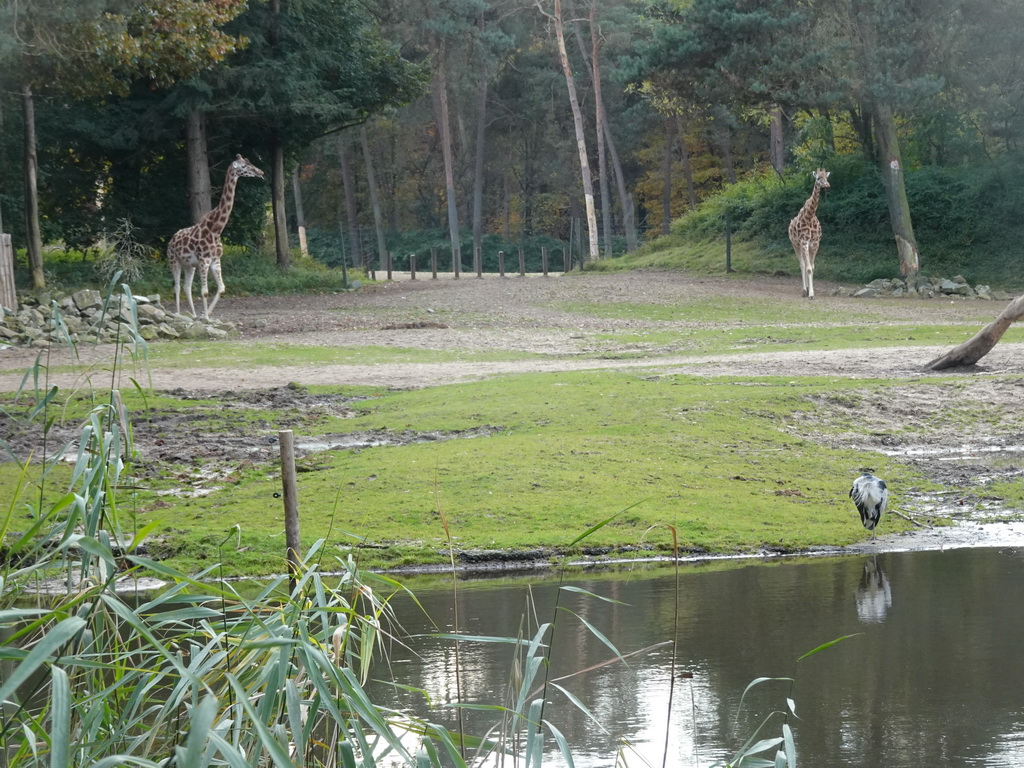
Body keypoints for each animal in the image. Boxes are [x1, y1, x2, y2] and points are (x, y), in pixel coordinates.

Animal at [166, 153, 264, 319]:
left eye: (250, 162)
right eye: (245, 166)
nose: (261, 172)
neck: (216, 229)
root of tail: (171, 240)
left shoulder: (215, 260)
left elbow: (222, 288)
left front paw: (206, 314)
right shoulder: (204, 260)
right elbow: (205, 292)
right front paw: (206, 317)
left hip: (189, 265)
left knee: (186, 287)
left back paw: (193, 315)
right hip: (174, 261)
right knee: (177, 287)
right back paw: (178, 314)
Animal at [786, 168, 827, 301]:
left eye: (826, 177)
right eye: (818, 178)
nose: (827, 185)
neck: (809, 216)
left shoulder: (815, 243)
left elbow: (812, 267)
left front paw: (811, 291)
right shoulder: (803, 242)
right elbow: (807, 267)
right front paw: (810, 294)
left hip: (806, 246)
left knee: (806, 263)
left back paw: (807, 288)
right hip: (795, 245)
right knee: (802, 264)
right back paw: (804, 290)